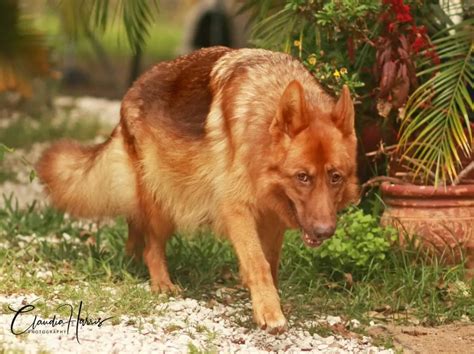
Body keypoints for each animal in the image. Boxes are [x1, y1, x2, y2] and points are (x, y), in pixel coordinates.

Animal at [37, 46, 358, 332]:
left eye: (335, 177)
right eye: (302, 177)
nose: (324, 232)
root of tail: (131, 90)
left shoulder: (273, 218)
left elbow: (271, 263)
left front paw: (269, 302)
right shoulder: (237, 211)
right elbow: (258, 263)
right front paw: (269, 311)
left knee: (135, 229)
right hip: (163, 201)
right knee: (151, 246)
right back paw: (161, 282)